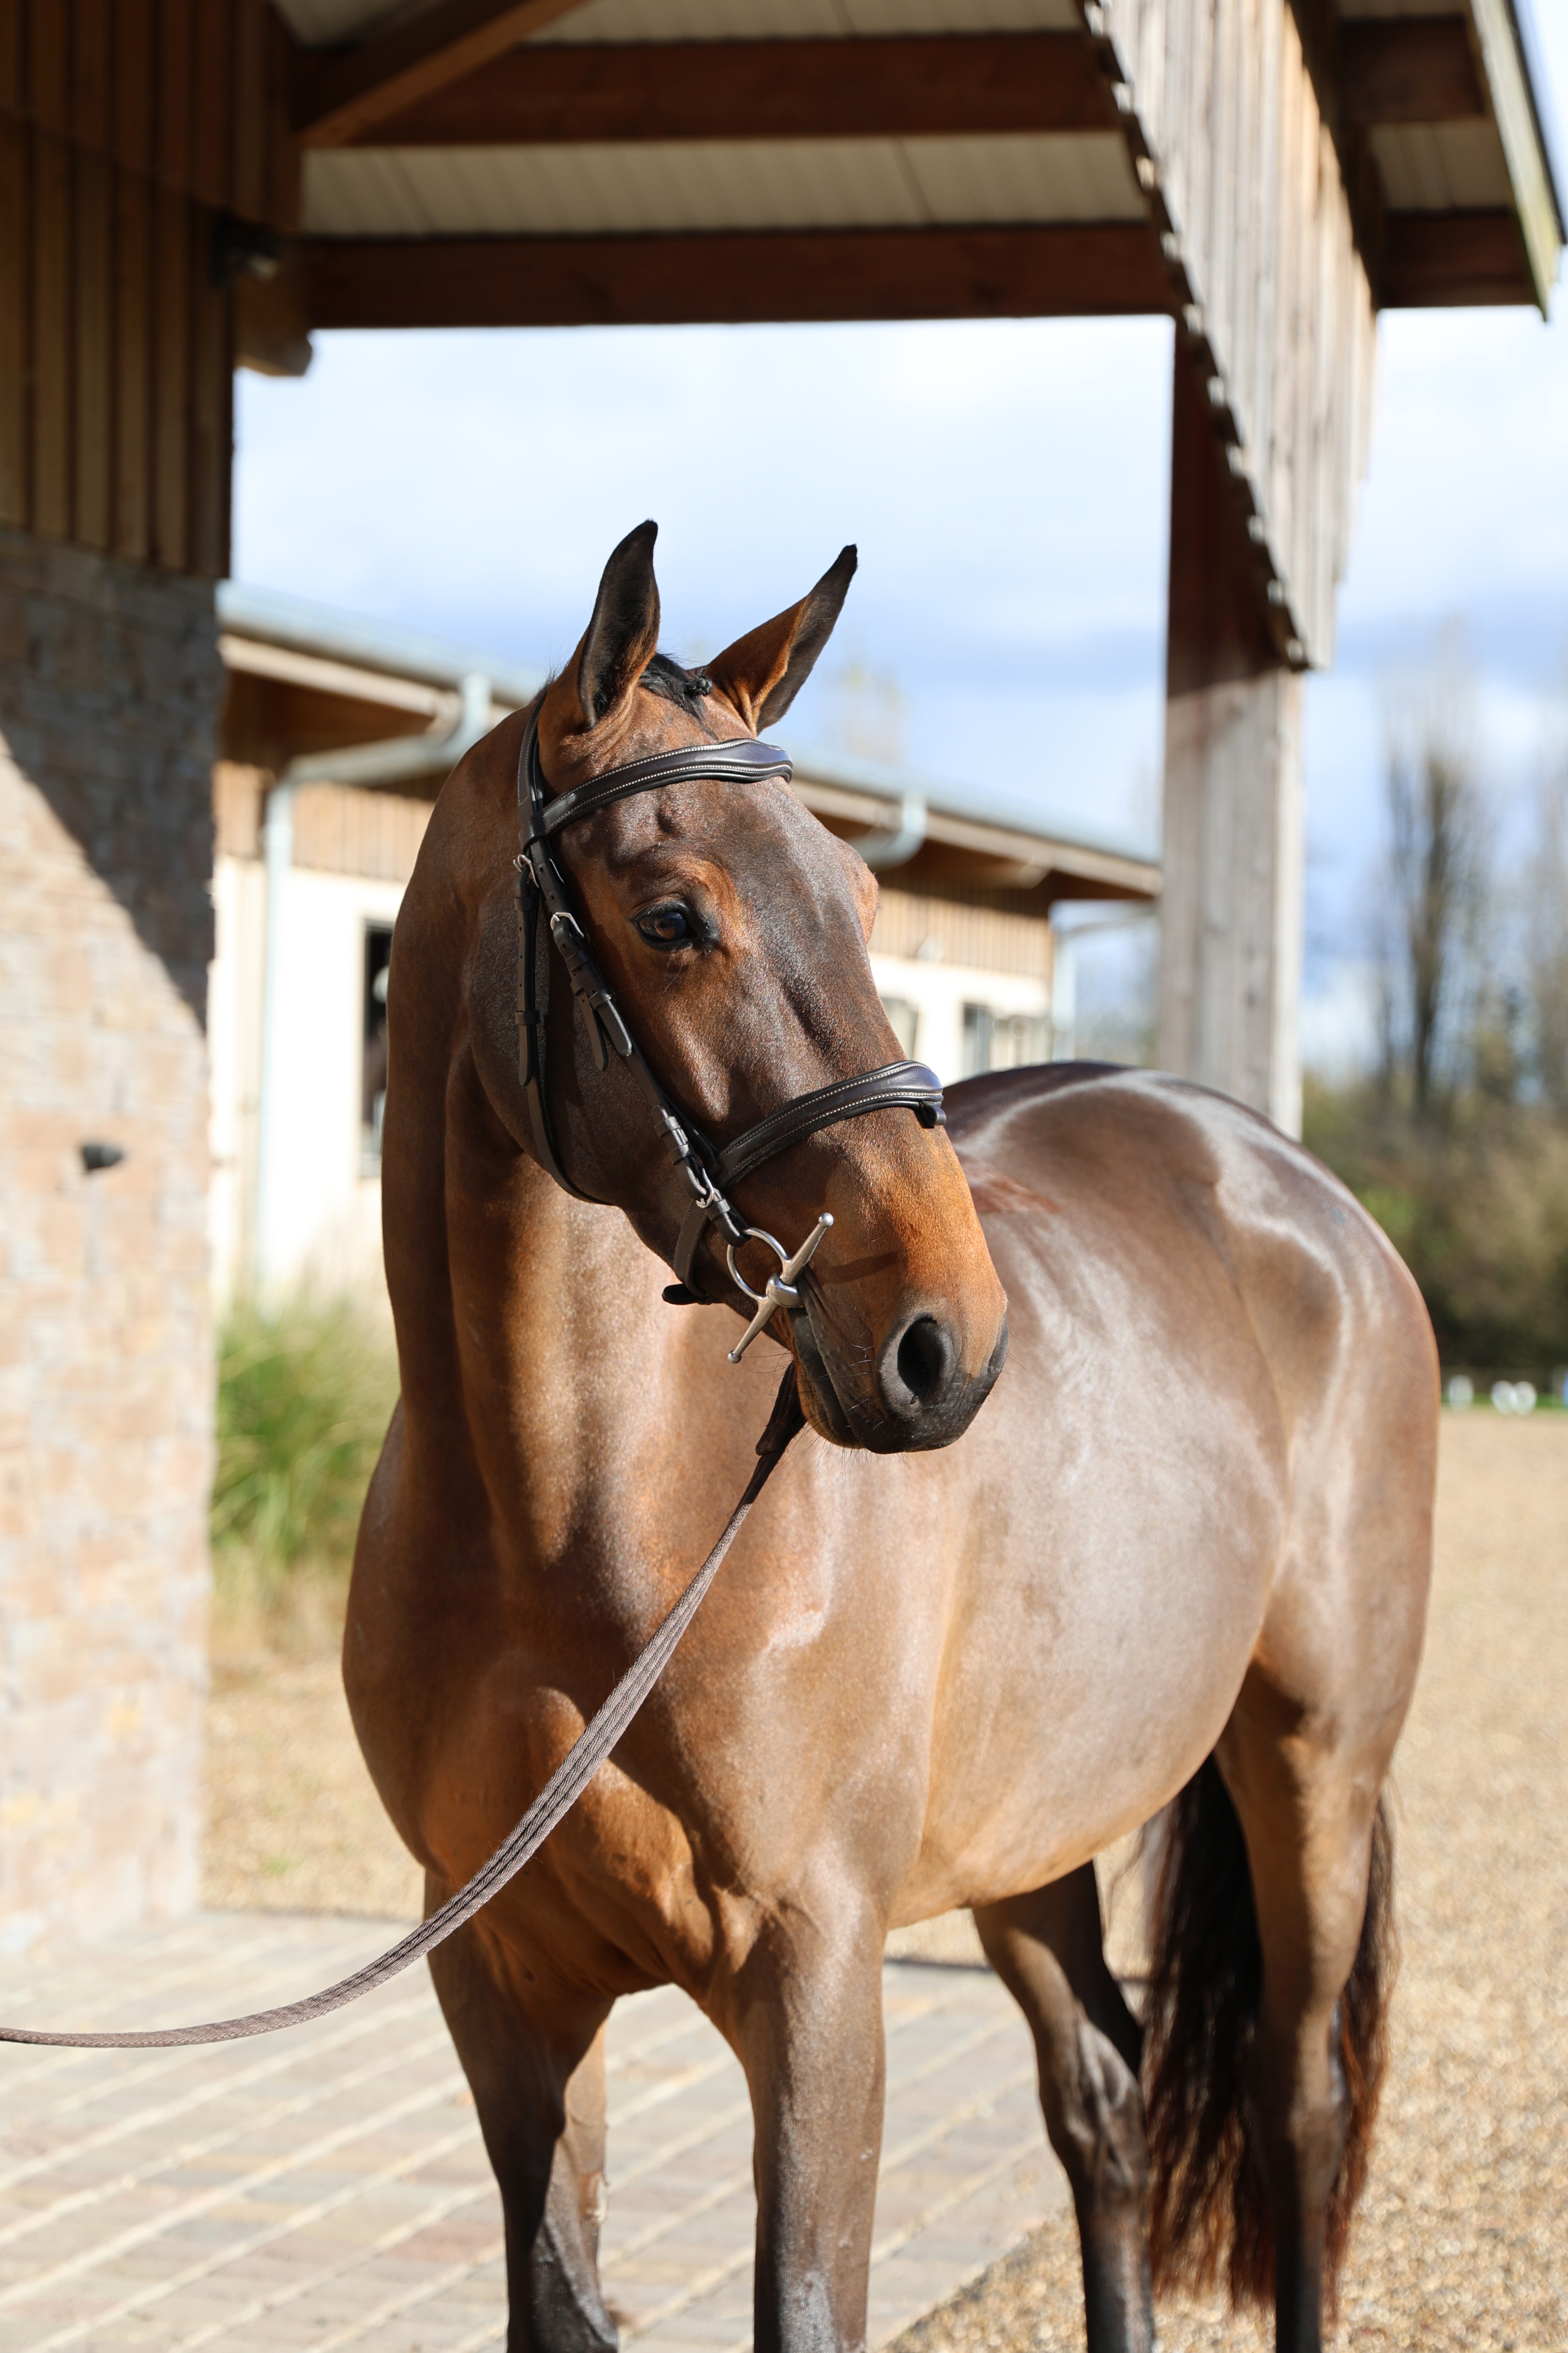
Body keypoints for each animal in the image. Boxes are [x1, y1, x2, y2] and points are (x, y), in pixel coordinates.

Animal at [345, 523, 1435, 2353]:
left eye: (860, 904)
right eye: (671, 916)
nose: (944, 1346)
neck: (571, 1527)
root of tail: (1292, 1190)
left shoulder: (815, 1978)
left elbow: (805, 2307)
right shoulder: (501, 1985)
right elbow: (556, 2303)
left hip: (1310, 1768)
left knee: (1293, 2112)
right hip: (1031, 1826)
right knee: (1101, 2104)